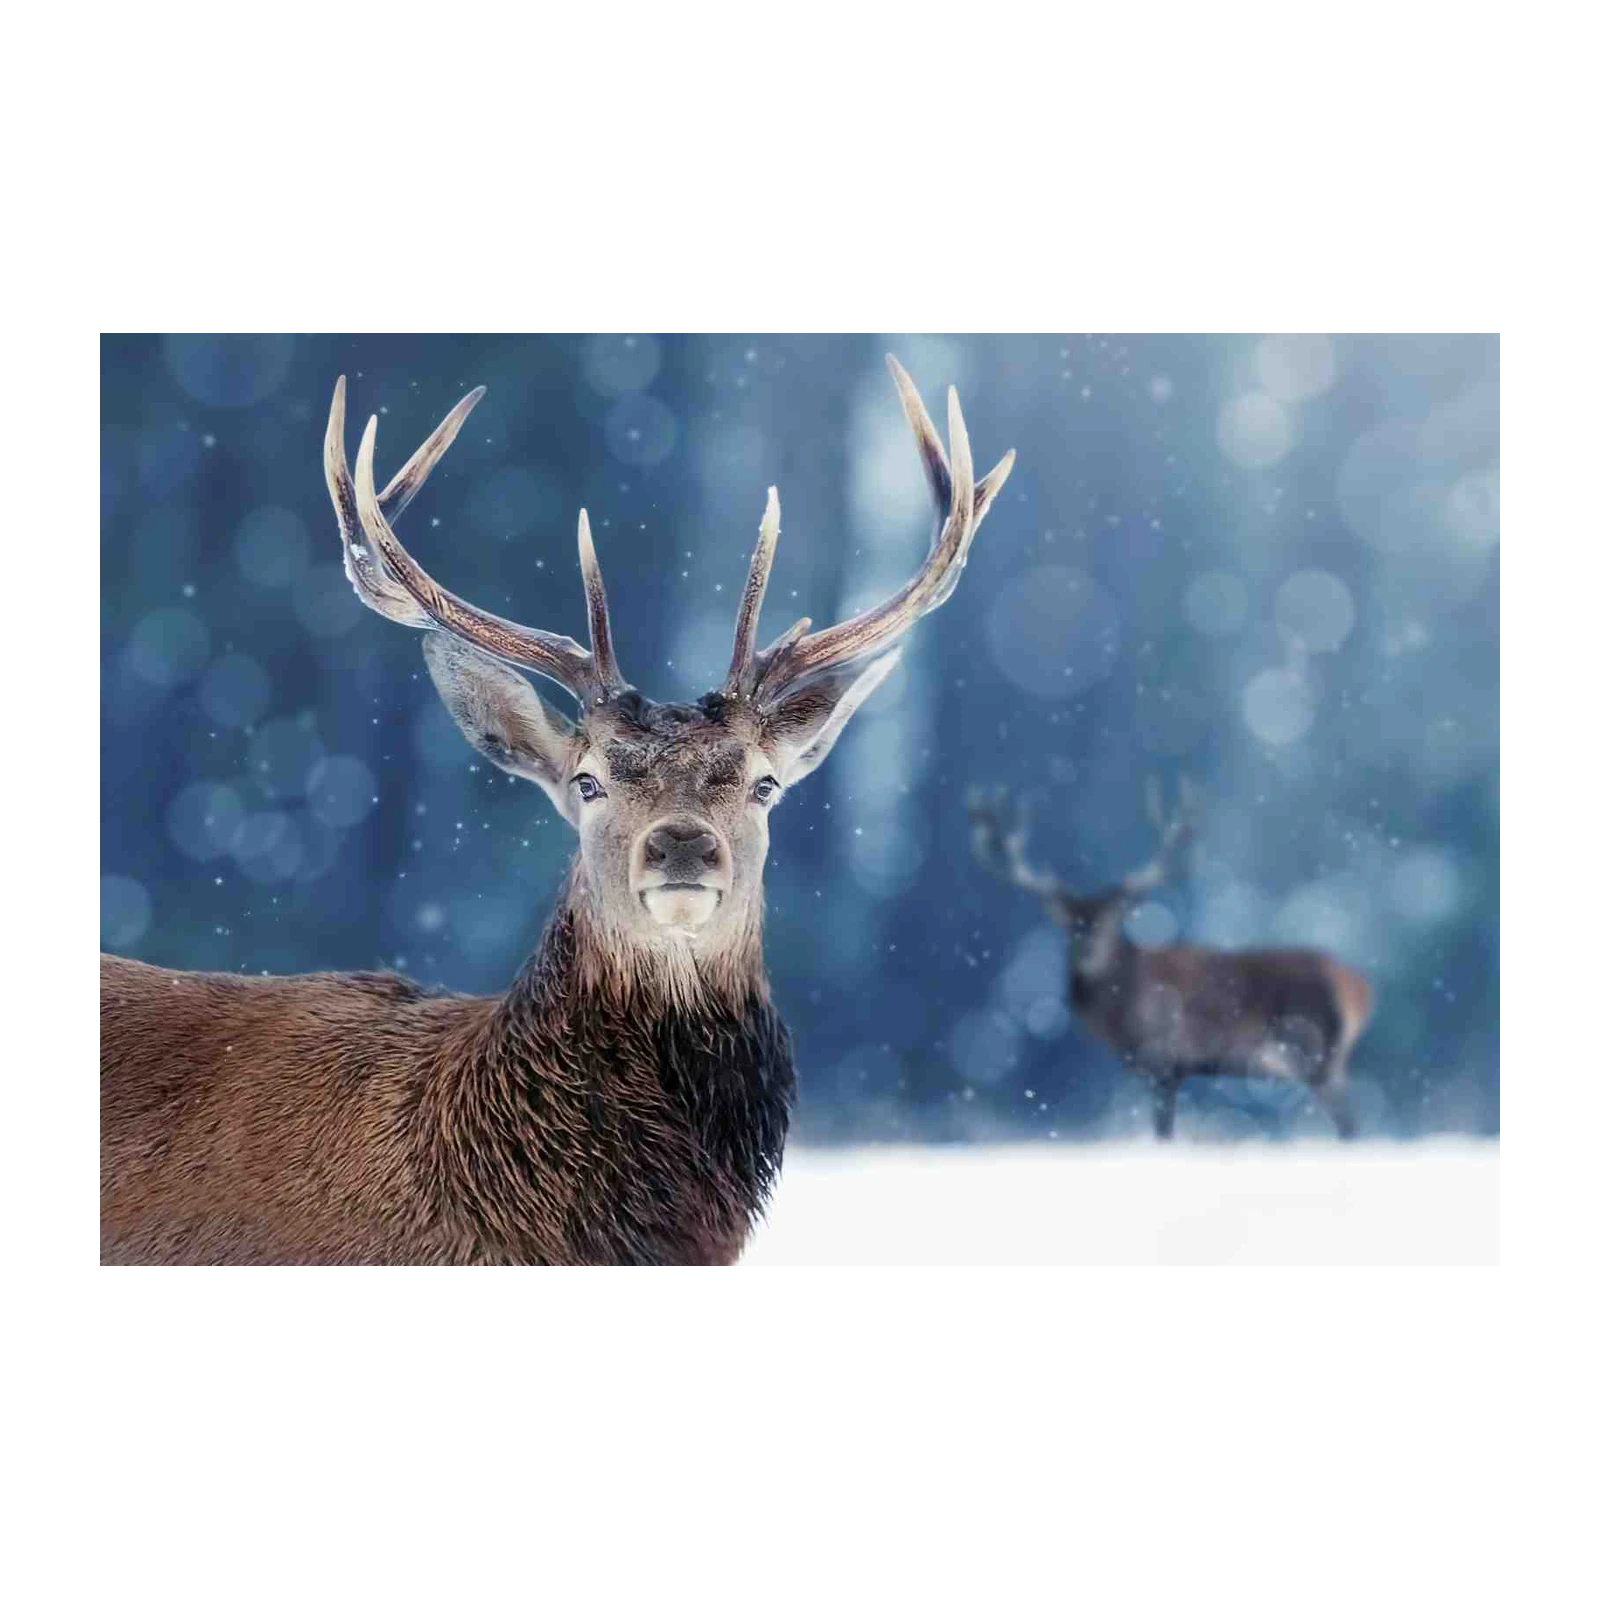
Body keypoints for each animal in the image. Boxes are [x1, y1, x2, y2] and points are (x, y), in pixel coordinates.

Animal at [968, 781, 1373, 1141]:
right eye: (1069, 923)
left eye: (1113, 919)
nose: (1087, 951)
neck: (1120, 1015)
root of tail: (1361, 990)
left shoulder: (1164, 1060)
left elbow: (1164, 1133)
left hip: (1318, 1053)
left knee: (1352, 1125)